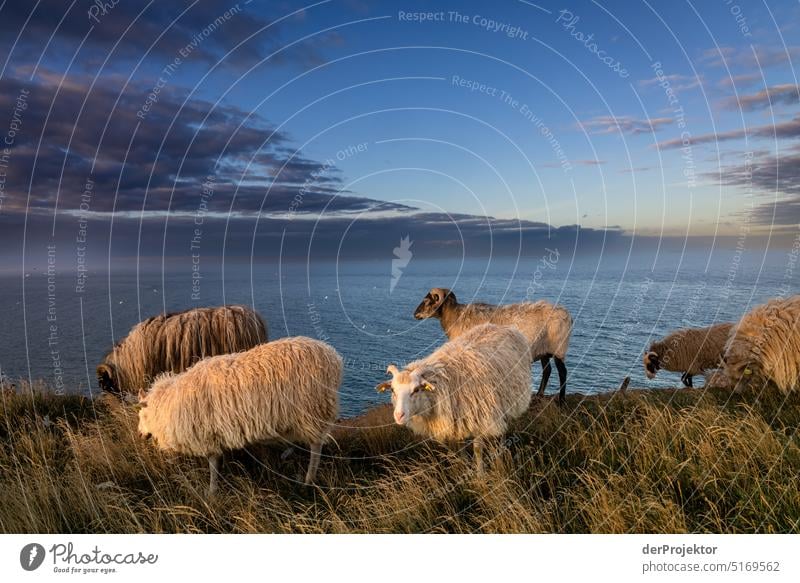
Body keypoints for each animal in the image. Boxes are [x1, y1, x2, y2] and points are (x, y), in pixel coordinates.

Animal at [137, 336, 340, 496]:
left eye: (142, 414)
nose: (139, 435)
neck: (170, 403)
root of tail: (332, 357)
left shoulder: (207, 435)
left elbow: (212, 465)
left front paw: (212, 491)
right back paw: (288, 453)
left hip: (313, 412)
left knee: (316, 448)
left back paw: (308, 480)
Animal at [378, 324, 536, 474]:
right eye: (392, 390)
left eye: (416, 390)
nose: (399, 415)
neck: (446, 382)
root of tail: (504, 326)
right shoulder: (456, 421)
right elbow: (460, 449)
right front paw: (464, 469)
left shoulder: (479, 417)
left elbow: (477, 449)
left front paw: (480, 476)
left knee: (504, 430)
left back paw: (501, 452)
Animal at [416, 286, 572, 402]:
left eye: (427, 301)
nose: (414, 314)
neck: (456, 317)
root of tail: (567, 315)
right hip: (543, 349)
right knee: (547, 370)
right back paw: (539, 394)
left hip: (558, 347)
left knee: (562, 372)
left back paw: (561, 400)